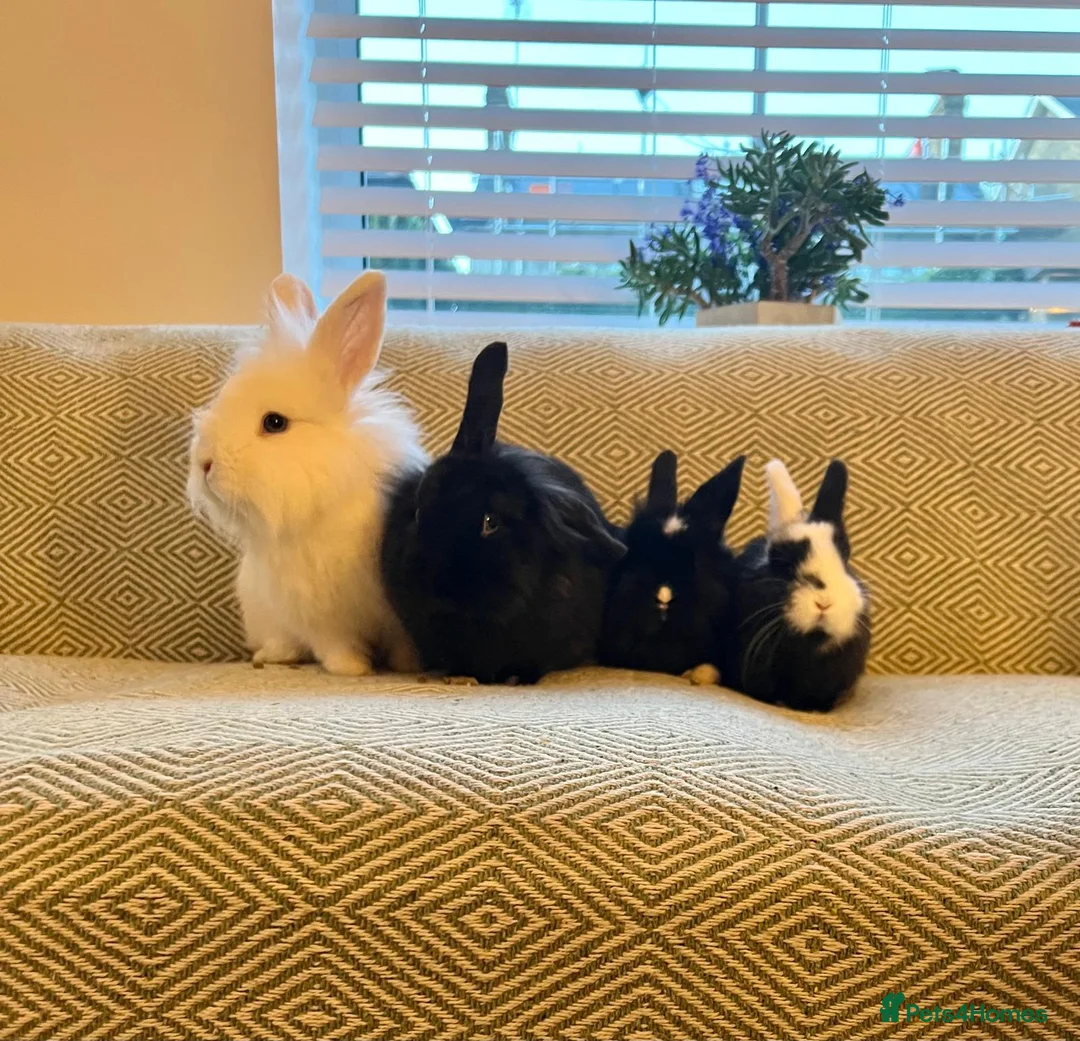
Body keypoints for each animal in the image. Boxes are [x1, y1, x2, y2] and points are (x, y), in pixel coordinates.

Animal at [187, 270, 427, 676]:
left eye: (275, 422)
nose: (205, 464)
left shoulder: (394, 616)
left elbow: (404, 643)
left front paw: (410, 666)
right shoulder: (317, 614)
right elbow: (335, 644)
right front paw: (352, 668)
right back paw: (273, 656)